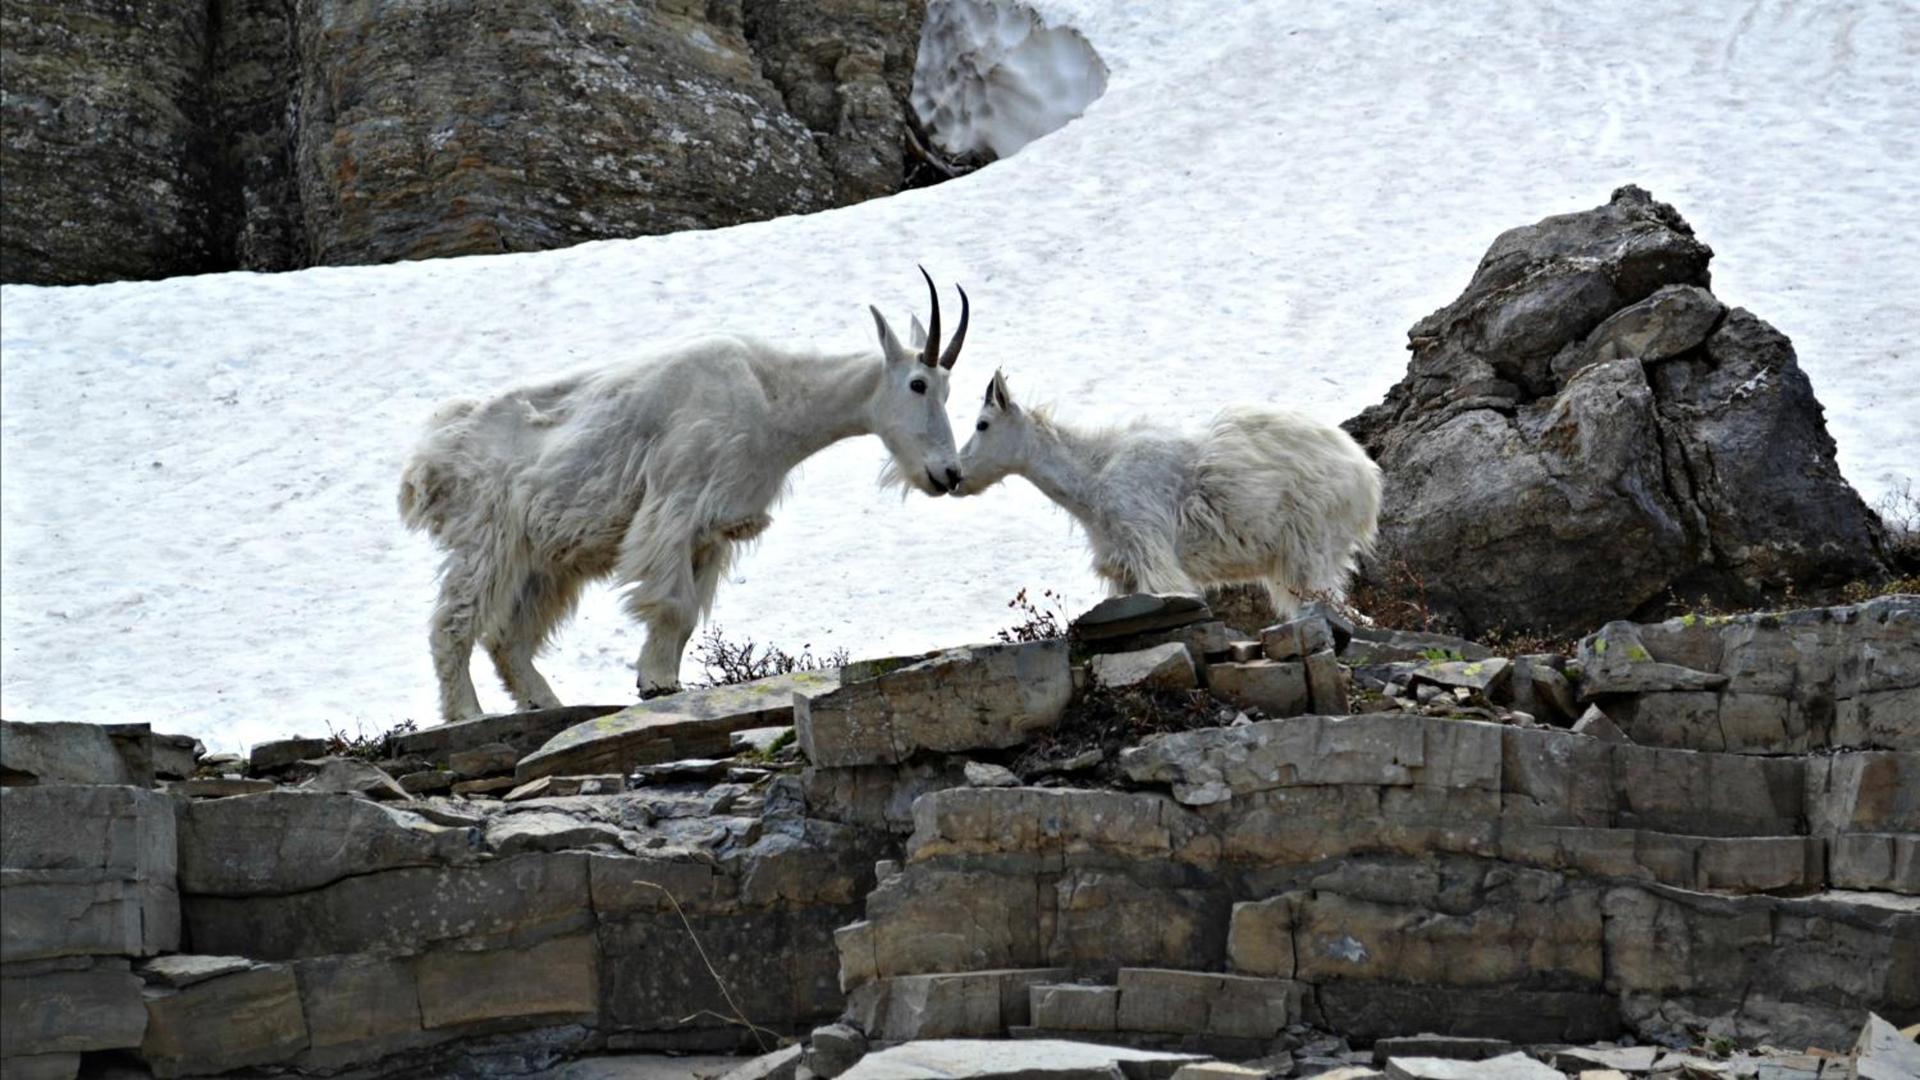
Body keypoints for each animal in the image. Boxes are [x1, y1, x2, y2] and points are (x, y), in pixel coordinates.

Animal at [399, 271, 971, 721]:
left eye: (947, 388)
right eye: (918, 384)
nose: (948, 473)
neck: (775, 400)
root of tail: (430, 458)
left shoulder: (713, 532)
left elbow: (691, 613)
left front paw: (665, 681)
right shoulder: (675, 507)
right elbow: (672, 604)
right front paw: (654, 683)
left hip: (548, 561)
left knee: (508, 637)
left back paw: (547, 702)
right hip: (489, 539)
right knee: (453, 623)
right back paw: (466, 711)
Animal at [955, 370, 1381, 616]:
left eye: (982, 423)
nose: (957, 476)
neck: (1092, 478)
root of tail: (1366, 477)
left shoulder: (1150, 549)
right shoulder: (1121, 568)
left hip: (1310, 544)